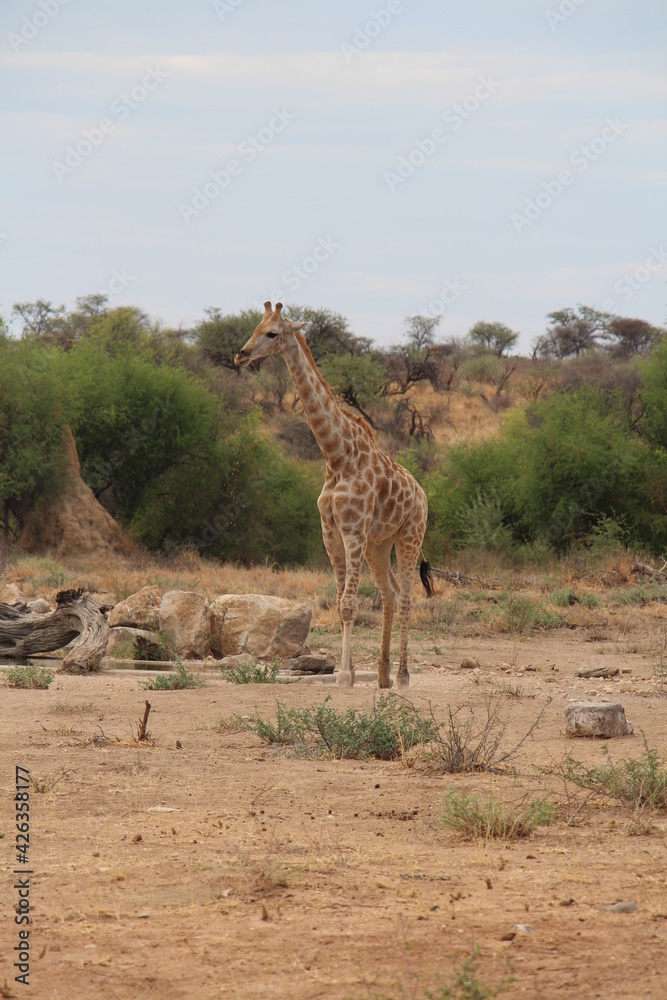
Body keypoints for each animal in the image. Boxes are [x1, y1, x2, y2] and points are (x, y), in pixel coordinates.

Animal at [235, 301, 433, 690]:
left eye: (272, 333)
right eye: (254, 328)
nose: (242, 354)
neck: (337, 455)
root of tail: (422, 493)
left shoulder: (353, 530)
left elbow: (348, 605)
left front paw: (342, 676)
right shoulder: (330, 532)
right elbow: (342, 600)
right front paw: (352, 673)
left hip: (409, 535)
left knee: (405, 598)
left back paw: (403, 677)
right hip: (378, 544)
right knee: (389, 593)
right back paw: (383, 676)